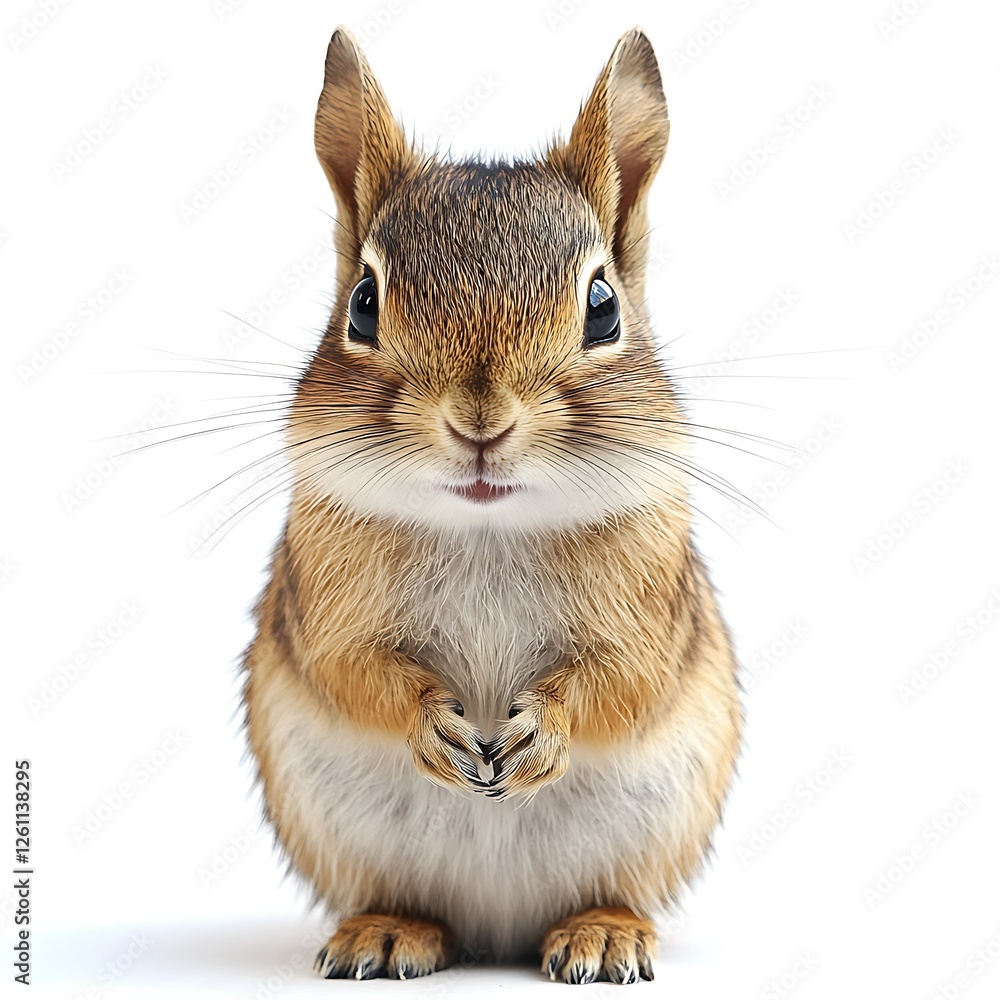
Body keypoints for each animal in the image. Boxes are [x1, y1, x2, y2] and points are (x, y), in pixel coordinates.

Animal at [241, 24, 742, 985]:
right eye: (363, 305)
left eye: (603, 306)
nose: (480, 422)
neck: (487, 523)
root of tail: (496, 933)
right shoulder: (325, 613)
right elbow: (354, 673)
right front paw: (434, 727)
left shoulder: (648, 624)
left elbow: (618, 684)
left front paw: (540, 733)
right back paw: (388, 933)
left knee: (607, 892)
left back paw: (601, 934)